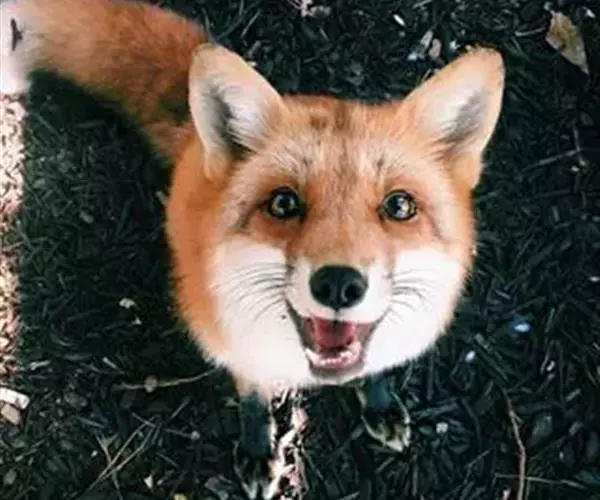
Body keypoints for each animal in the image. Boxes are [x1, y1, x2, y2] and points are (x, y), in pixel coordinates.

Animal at [0, 0, 505, 497]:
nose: (338, 285)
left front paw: (379, 404)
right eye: (283, 203)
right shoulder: (239, 349)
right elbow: (253, 403)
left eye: (399, 206)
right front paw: (259, 450)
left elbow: (372, 372)